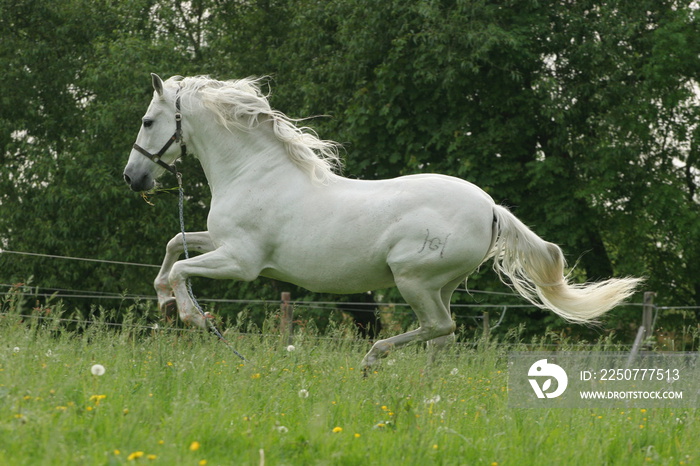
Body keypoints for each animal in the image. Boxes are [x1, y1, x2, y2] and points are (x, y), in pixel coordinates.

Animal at [124, 74, 640, 370]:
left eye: (148, 121)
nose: (133, 177)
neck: (256, 171)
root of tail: (491, 207)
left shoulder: (242, 261)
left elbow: (183, 266)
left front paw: (192, 317)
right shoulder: (220, 241)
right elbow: (174, 245)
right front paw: (164, 301)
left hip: (413, 279)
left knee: (440, 328)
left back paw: (374, 359)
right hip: (439, 285)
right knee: (443, 337)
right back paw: (427, 391)